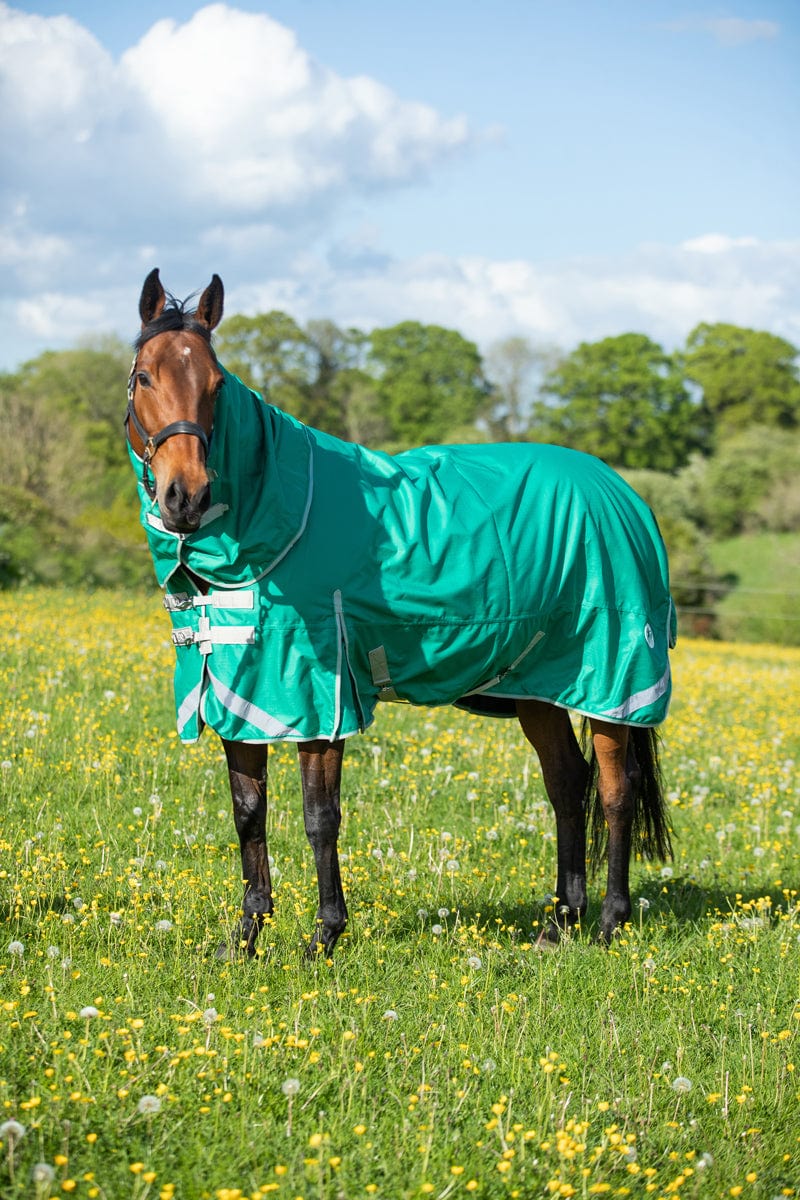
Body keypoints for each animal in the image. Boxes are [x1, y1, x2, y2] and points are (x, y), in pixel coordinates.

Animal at [125, 268, 675, 959]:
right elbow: (248, 812)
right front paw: (246, 938)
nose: (186, 497)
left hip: (613, 680)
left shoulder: (319, 698)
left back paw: (608, 922)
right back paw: (558, 925)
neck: (274, 513)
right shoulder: (239, 690)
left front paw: (323, 936)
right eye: (145, 376)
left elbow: (319, 817)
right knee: (567, 786)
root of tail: (623, 493)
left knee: (615, 790)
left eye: (217, 385)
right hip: (541, 688)